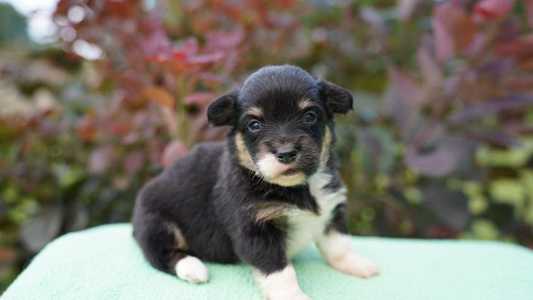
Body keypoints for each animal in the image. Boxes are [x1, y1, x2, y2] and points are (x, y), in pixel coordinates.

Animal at [132, 66, 378, 300]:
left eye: (309, 116)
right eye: (254, 124)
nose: (286, 153)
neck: (297, 188)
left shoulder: (332, 208)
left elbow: (339, 244)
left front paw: (357, 264)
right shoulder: (255, 231)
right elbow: (280, 270)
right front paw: (293, 296)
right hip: (157, 223)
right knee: (160, 253)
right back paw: (193, 268)